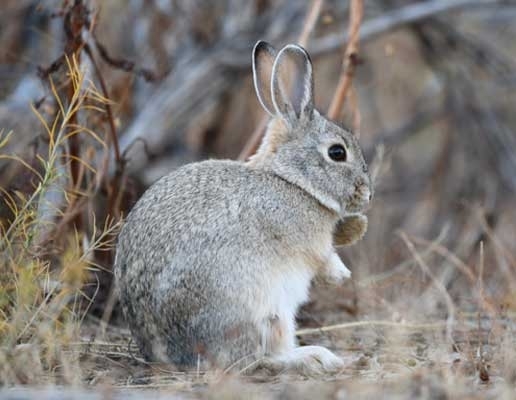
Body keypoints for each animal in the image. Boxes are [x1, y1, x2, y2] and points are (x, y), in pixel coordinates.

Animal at [114, 40, 370, 376]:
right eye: (337, 153)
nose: (367, 193)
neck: (290, 180)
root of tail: (165, 354)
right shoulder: (307, 240)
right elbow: (324, 258)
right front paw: (342, 275)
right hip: (262, 312)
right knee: (254, 360)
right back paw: (314, 357)